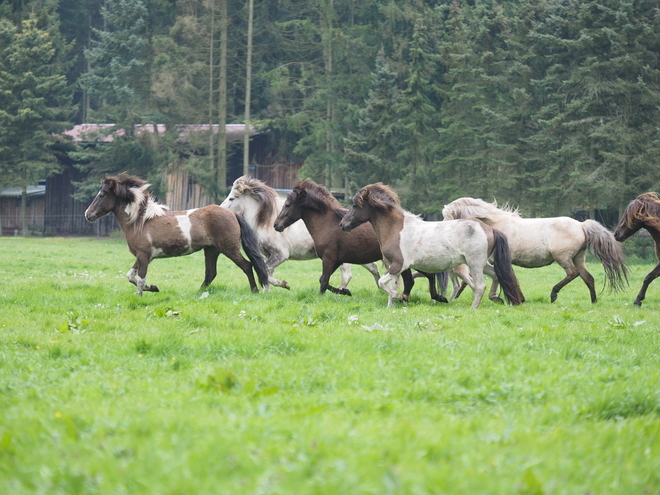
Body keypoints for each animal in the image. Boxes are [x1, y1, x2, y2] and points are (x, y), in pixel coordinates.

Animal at [84, 174, 270, 296]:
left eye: (102, 194)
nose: (88, 214)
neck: (139, 222)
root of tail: (232, 213)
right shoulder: (144, 256)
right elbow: (131, 276)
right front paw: (154, 288)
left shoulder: (143, 256)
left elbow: (140, 279)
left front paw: (141, 295)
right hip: (211, 250)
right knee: (210, 273)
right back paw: (197, 294)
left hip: (229, 249)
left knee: (247, 266)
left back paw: (255, 290)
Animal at [219, 177, 378, 290]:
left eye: (232, 198)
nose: (220, 210)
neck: (265, 222)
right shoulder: (269, 255)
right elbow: (267, 272)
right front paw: (267, 292)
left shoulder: (281, 254)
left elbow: (265, 270)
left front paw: (284, 284)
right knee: (373, 268)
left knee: (347, 276)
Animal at [338, 184, 524, 308]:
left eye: (355, 205)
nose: (342, 224)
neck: (396, 229)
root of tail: (489, 228)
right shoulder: (394, 267)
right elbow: (391, 285)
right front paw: (391, 306)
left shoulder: (399, 264)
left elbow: (384, 284)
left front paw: (402, 297)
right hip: (483, 264)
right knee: (496, 275)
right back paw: (496, 298)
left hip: (475, 264)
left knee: (479, 286)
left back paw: (473, 308)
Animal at [440, 197, 628, 302]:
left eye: (447, 215)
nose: (441, 229)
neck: (496, 224)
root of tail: (582, 225)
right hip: (578, 258)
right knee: (588, 278)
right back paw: (594, 301)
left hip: (563, 257)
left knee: (572, 274)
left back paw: (554, 294)